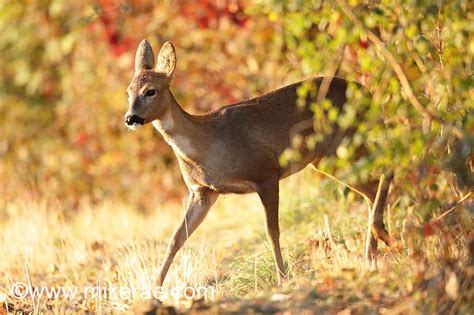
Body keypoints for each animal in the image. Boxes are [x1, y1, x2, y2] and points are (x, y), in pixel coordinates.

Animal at [125, 39, 392, 286]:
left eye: (150, 91)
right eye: (128, 92)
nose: (130, 118)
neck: (209, 144)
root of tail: (365, 91)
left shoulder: (266, 173)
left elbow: (271, 231)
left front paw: (283, 277)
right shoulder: (203, 192)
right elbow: (176, 238)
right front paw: (155, 288)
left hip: (347, 138)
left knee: (388, 162)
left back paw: (380, 236)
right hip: (328, 157)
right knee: (370, 189)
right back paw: (372, 253)